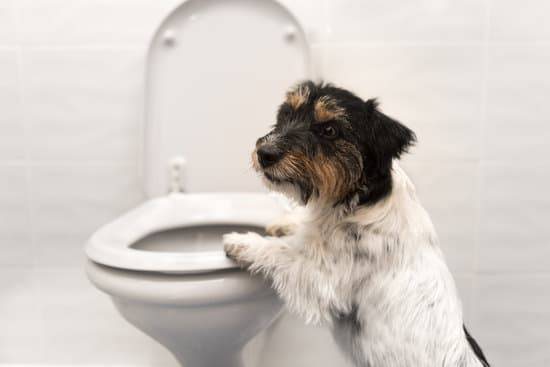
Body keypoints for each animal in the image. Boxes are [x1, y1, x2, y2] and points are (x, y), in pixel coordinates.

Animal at [222, 81, 490, 367]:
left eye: (329, 130)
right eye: (286, 114)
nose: (265, 153)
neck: (362, 199)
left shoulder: (321, 278)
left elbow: (282, 250)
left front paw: (242, 241)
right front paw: (286, 222)